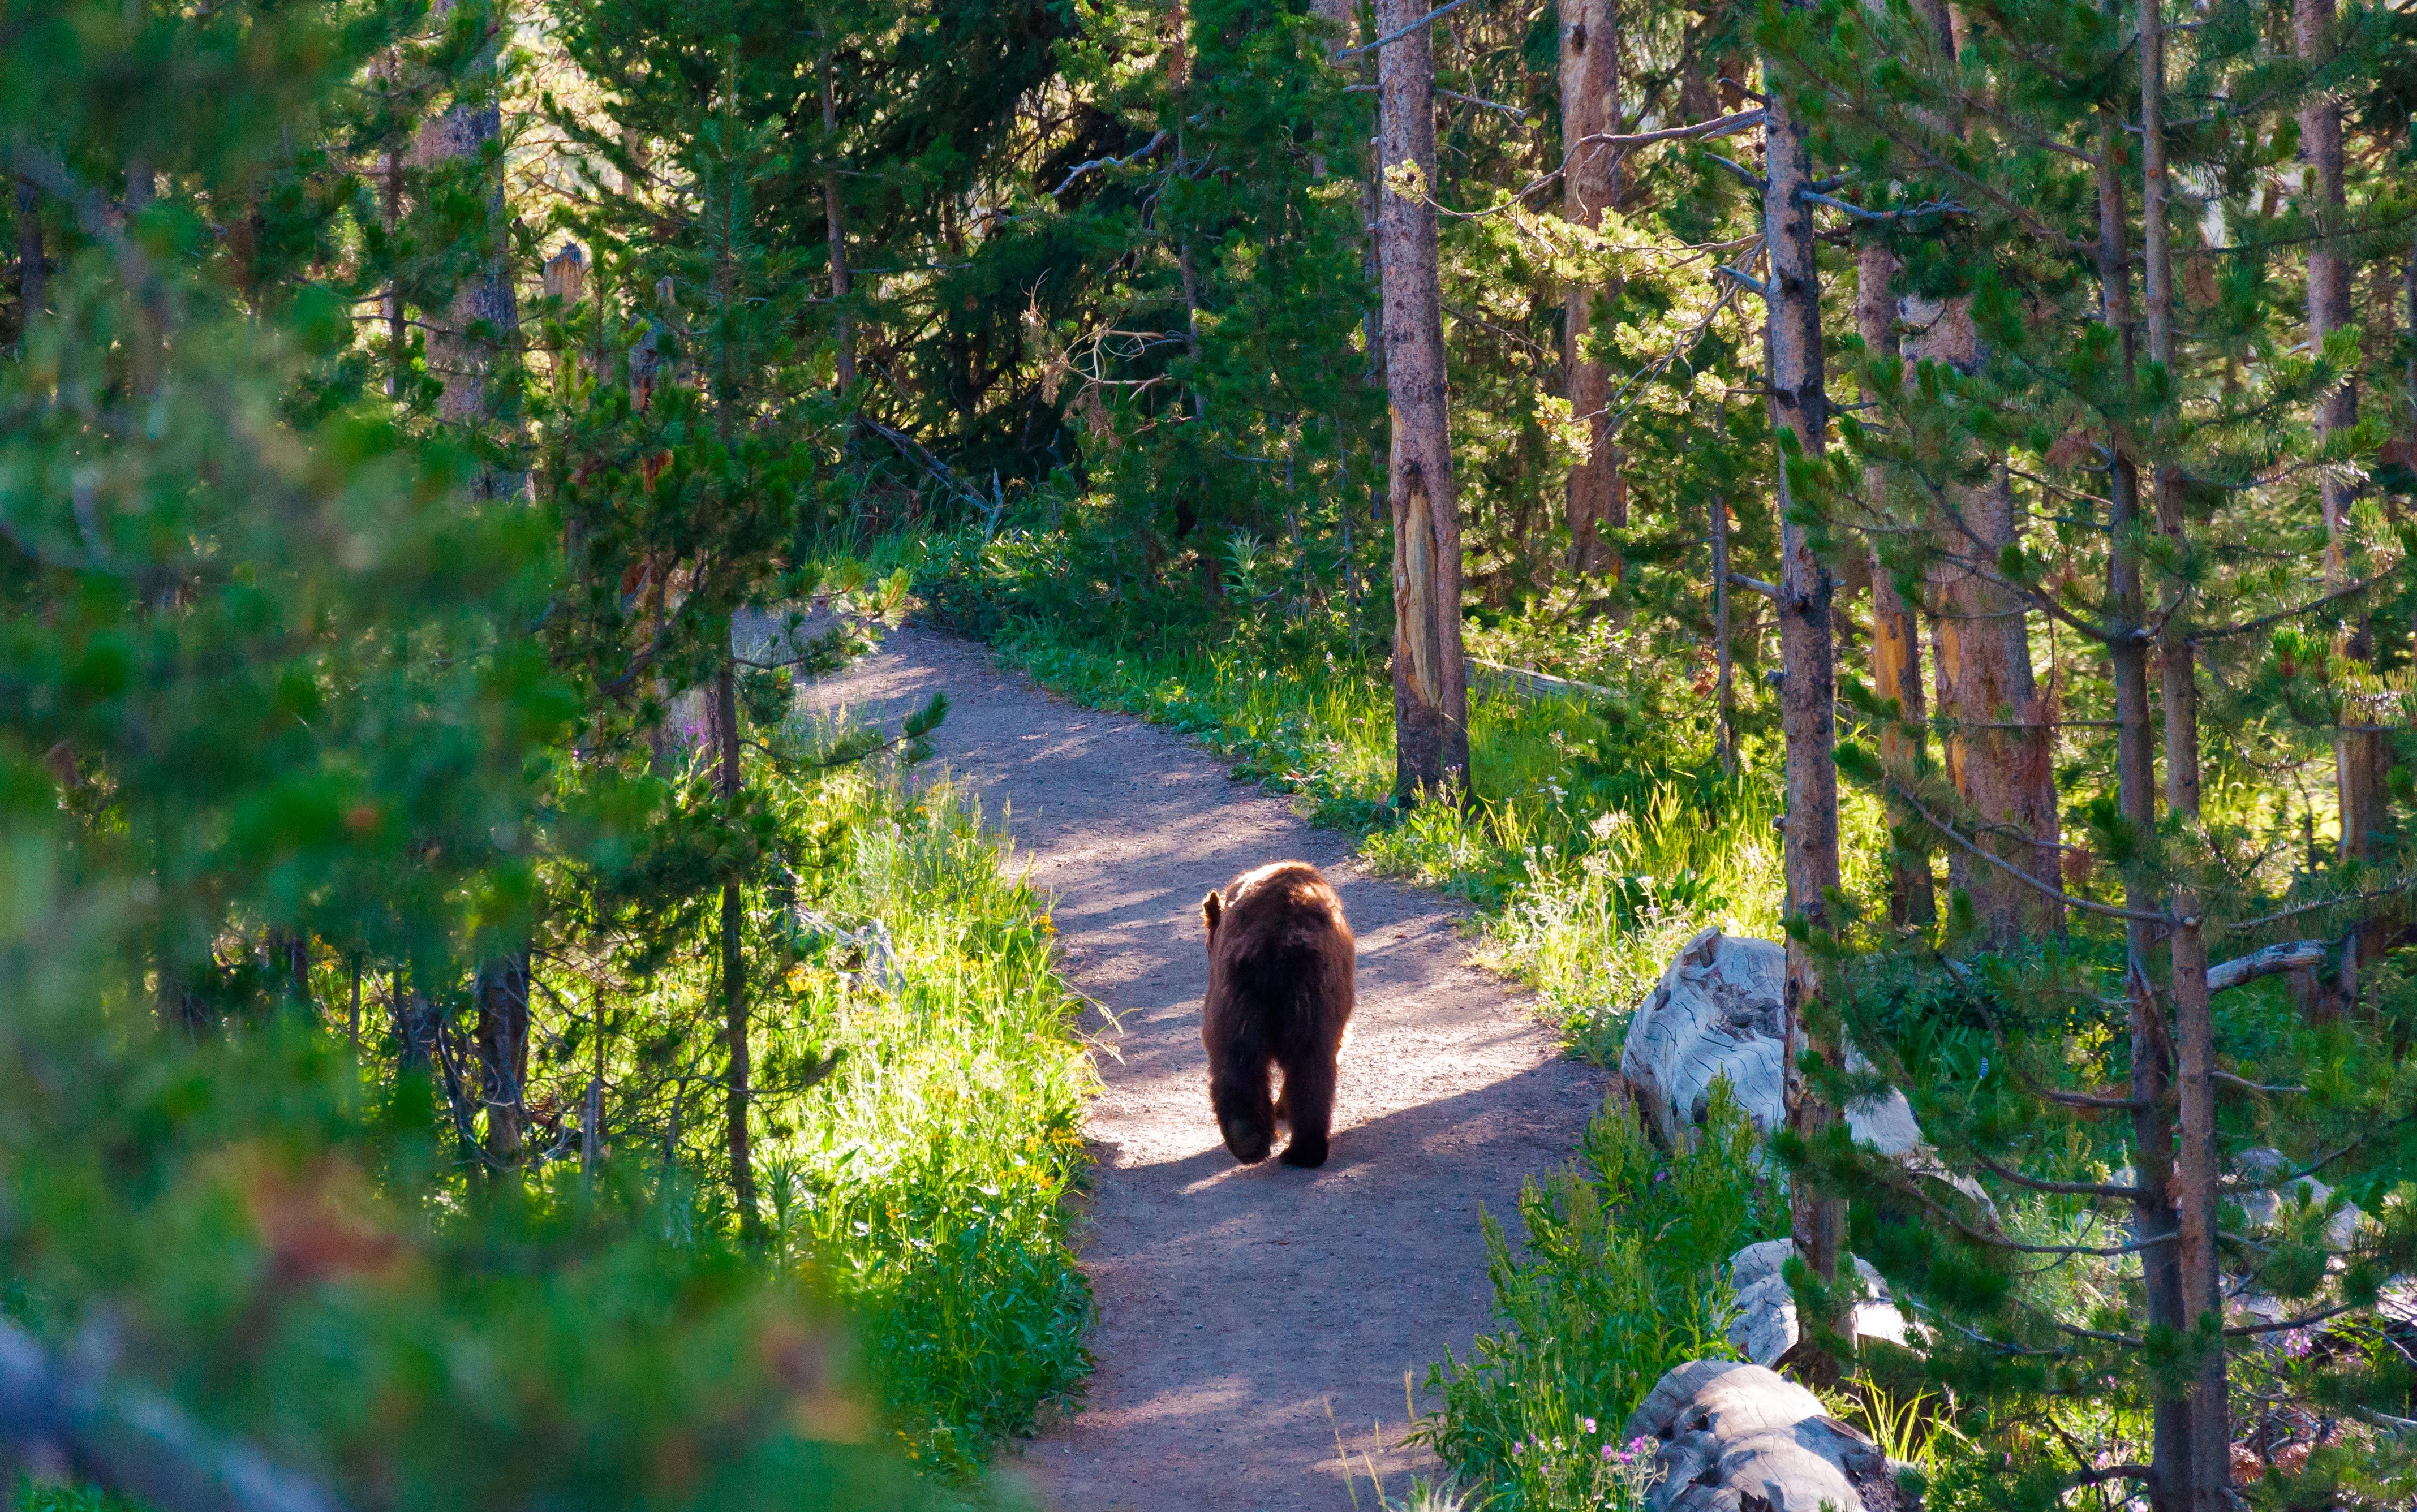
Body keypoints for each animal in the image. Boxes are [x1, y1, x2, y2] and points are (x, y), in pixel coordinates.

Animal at [1199, 861, 1356, 1169]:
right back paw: (1299, 1148)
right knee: (1310, 1065)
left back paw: (1252, 1138)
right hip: (1309, 995)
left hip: (1241, 994)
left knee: (1238, 1058)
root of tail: (1277, 946)